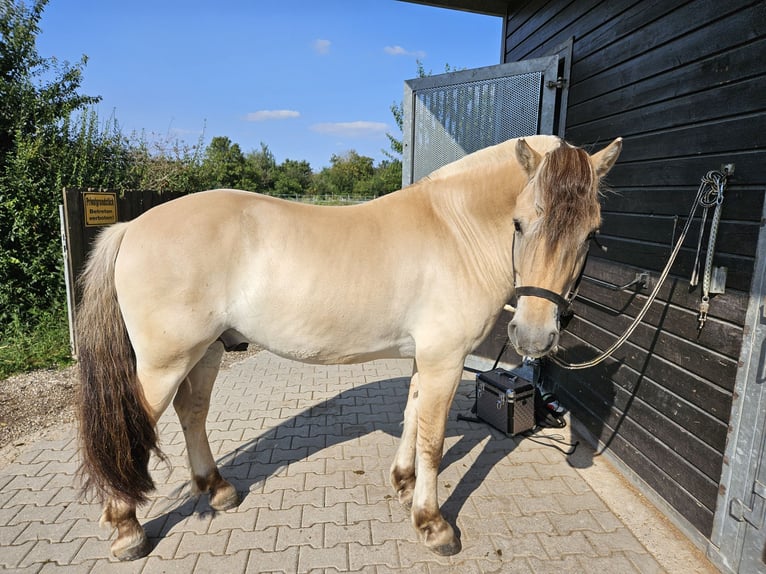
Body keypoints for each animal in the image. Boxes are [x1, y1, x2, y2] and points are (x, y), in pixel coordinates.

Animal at [75, 133, 620, 560]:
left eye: (592, 233)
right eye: (520, 222)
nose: (533, 335)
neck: (455, 230)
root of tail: (131, 226)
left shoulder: (426, 357)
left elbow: (412, 416)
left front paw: (403, 483)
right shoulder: (445, 359)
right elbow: (434, 440)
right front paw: (432, 523)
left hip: (205, 352)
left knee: (193, 412)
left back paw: (217, 490)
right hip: (163, 365)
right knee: (132, 431)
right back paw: (127, 528)